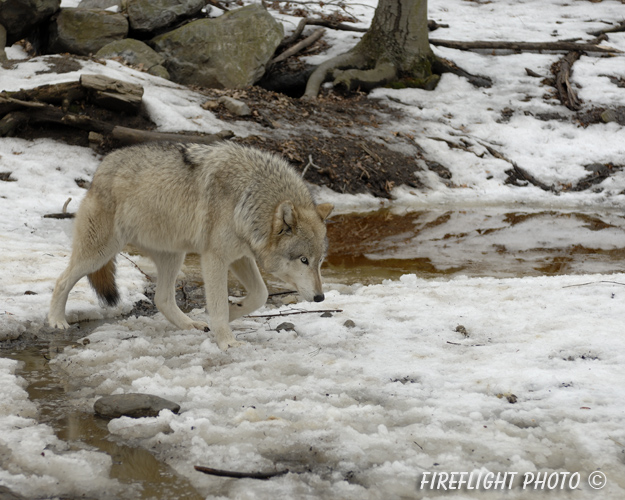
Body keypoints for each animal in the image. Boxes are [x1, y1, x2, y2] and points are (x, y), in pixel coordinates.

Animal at [48, 143, 334, 350]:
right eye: (303, 260)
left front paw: (234, 312)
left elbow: (261, 294)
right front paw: (227, 341)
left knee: (162, 299)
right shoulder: (215, 258)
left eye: (319, 262)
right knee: (61, 280)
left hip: (174, 255)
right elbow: (218, 305)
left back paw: (191, 326)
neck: (248, 198)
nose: (320, 298)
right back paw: (57, 321)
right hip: (100, 253)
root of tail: (100, 169)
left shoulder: (240, 257)